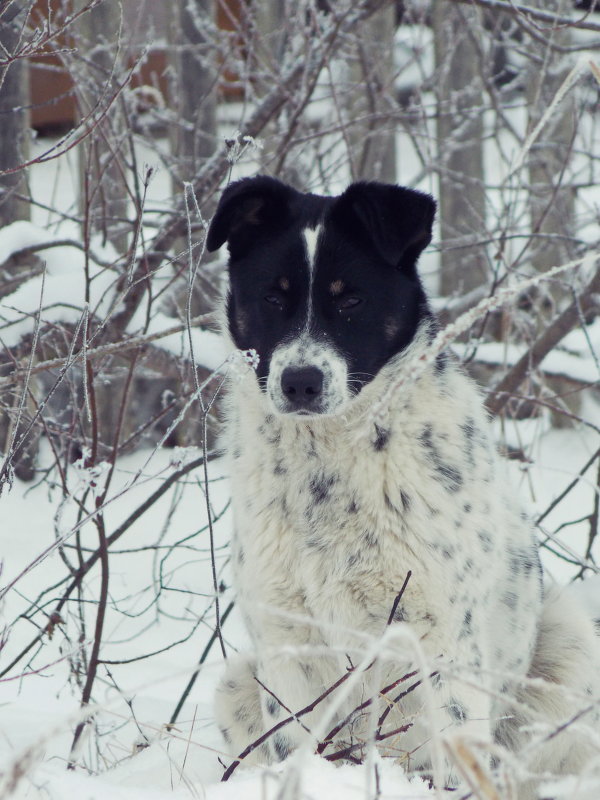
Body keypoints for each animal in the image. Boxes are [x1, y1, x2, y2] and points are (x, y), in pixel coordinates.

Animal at [206, 175, 600, 792]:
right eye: (272, 297)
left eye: (350, 300)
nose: (300, 382)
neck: (328, 467)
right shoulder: (287, 638)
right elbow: (294, 743)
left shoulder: (438, 636)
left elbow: (452, 742)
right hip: (235, 683)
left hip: (568, 649)